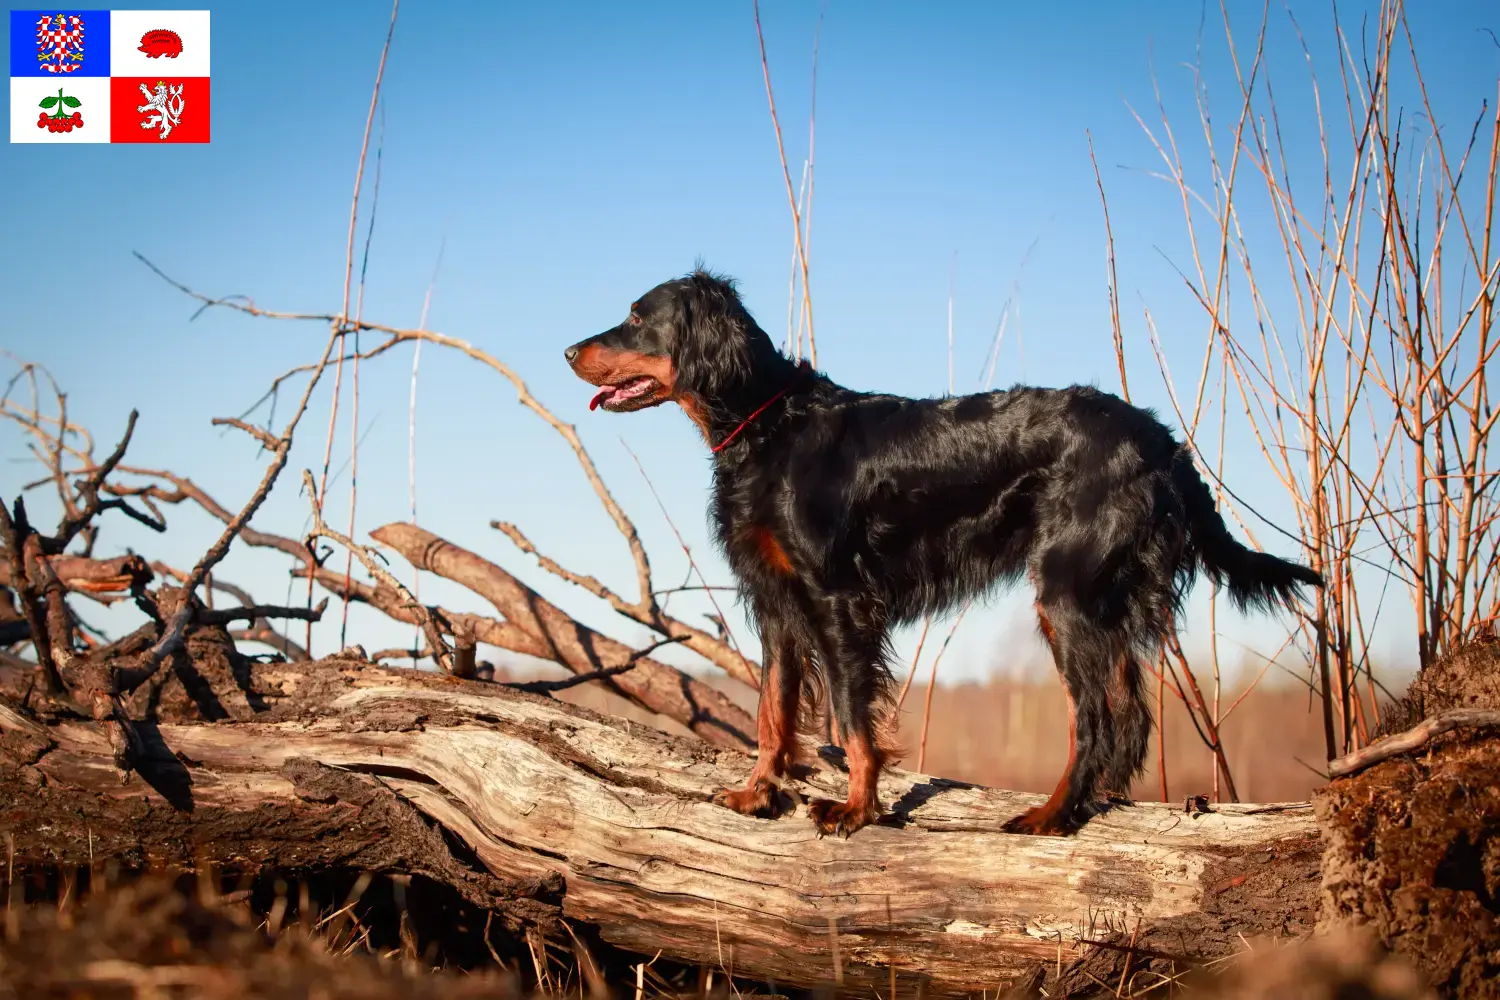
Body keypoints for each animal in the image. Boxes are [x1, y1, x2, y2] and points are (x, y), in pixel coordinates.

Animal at [564, 268, 1326, 839]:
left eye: (636, 316)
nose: (568, 351)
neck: (768, 423)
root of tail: (1161, 440)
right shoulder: (776, 603)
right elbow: (772, 710)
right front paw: (758, 791)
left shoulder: (839, 600)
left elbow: (851, 715)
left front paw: (857, 809)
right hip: (1103, 595)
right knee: (1130, 713)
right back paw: (1092, 802)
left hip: (1066, 596)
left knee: (1096, 717)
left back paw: (1053, 815)